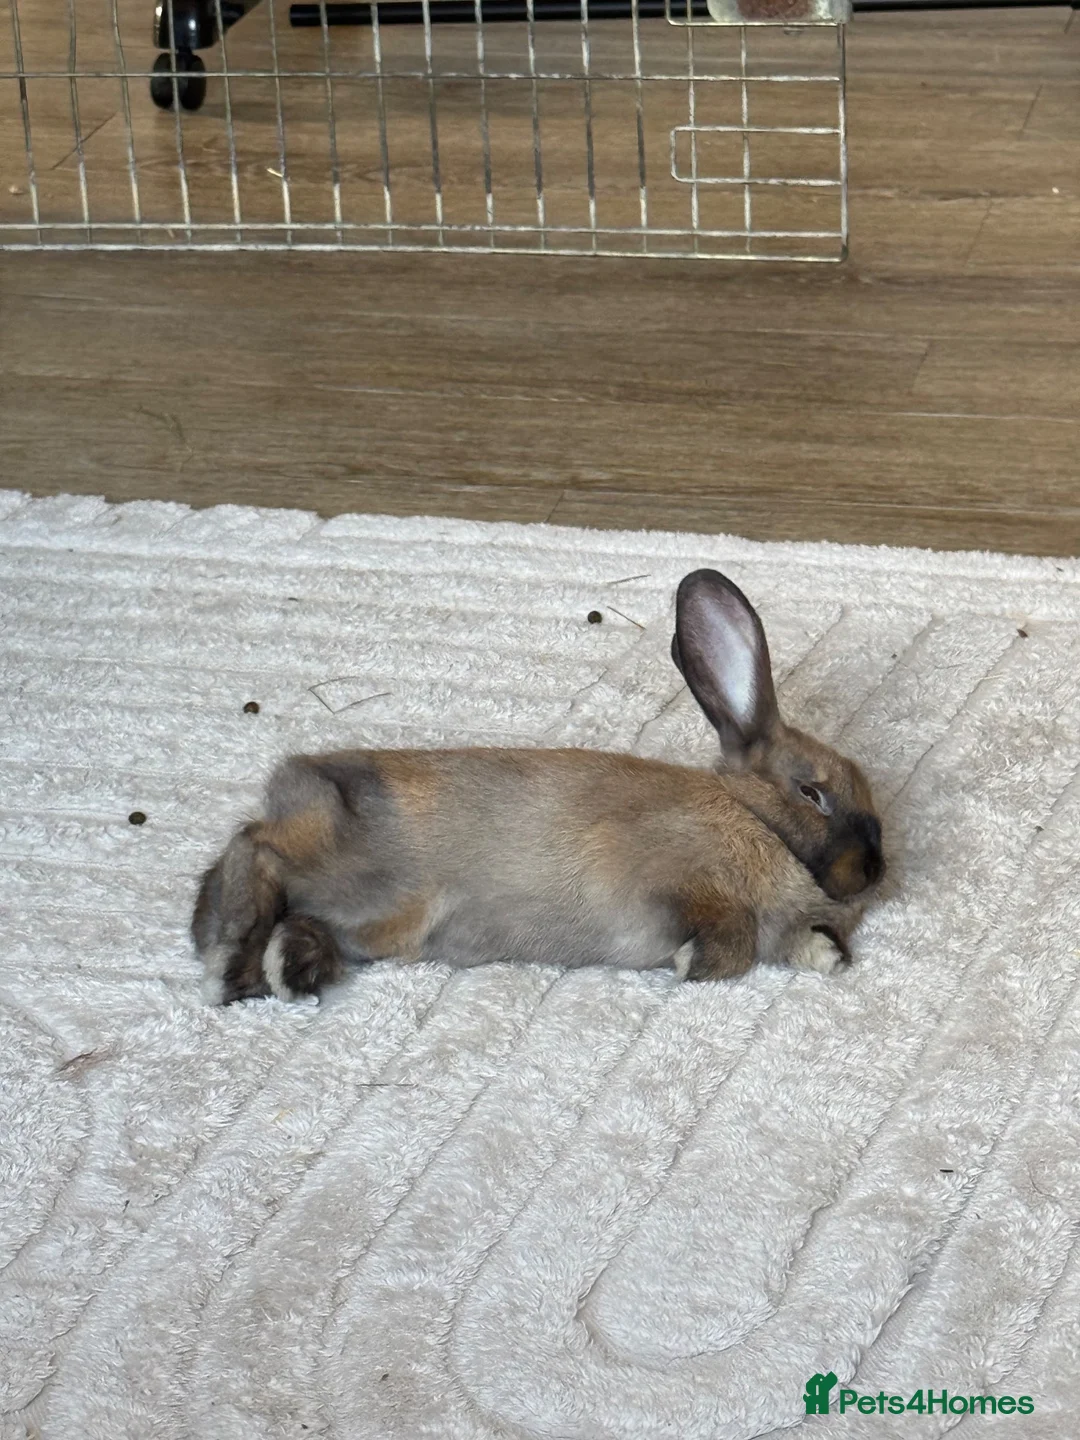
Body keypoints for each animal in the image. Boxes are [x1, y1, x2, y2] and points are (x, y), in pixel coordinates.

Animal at [193, 568, 884, 1004]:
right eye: (812, 793)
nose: (874, 871)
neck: (755, 822)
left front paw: (830, 955)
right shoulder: (668, 879)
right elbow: (730, 939)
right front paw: (695, 965)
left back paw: (290, 968)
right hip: (354, 873)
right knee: (256, 850)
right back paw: (231, 967)